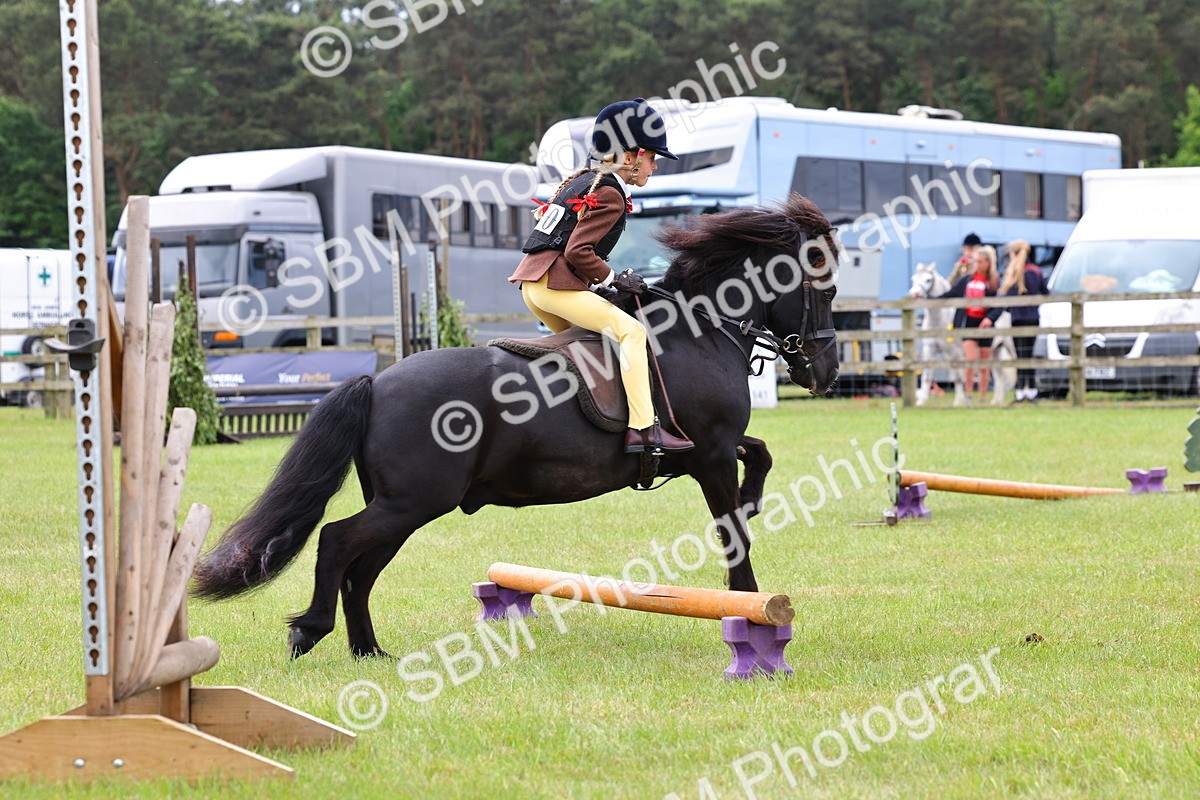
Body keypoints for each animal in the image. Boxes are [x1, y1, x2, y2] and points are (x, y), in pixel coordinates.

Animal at [193, 194, 840, 659]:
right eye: (827, 287)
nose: (827, 373)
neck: (700, 329)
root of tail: (377, 383)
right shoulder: (709, 454)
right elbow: (735, 528)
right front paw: (750, 607)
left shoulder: (704, 451)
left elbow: (760, 454)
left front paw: (754, 504)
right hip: (413, 501)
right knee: (336, 542)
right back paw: (311, 630)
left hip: (405, 506)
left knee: (362, 567)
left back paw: (369, 651)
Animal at [908, 262, 967, 406]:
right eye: (913, 279)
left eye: (928, 280)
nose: (914, 294)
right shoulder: (930, 349)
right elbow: (927, 375)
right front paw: (922, 401)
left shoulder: (953, 352)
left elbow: (957, 376)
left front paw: (958, 402)